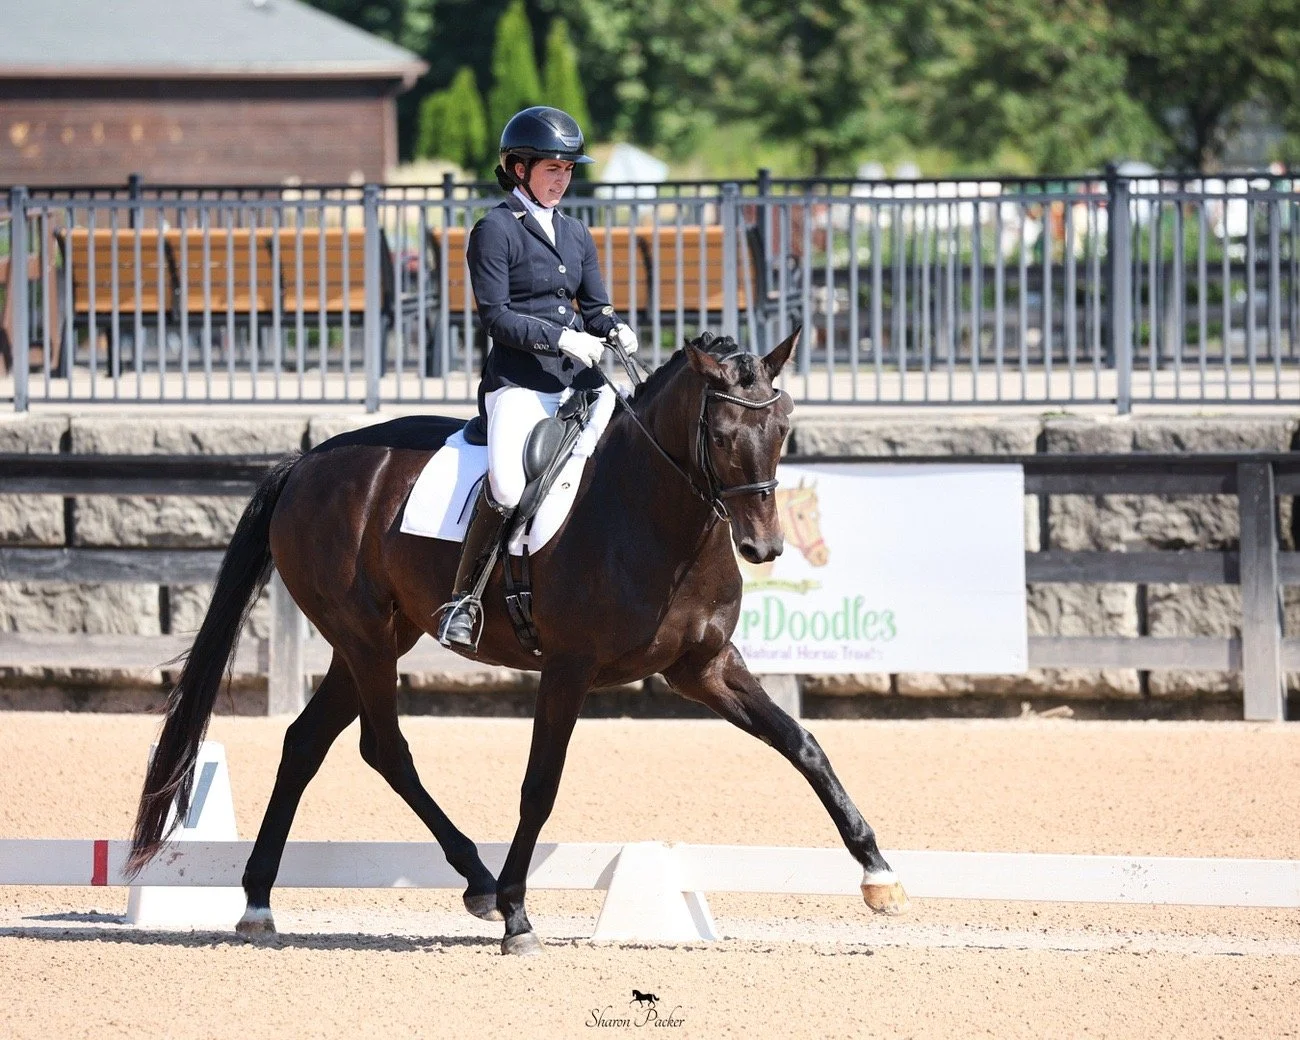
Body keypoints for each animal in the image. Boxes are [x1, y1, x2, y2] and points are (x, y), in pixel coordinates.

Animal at [125, 328, 907, 956]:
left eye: (783, 427)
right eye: (718, 436)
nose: (763, 546)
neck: (655, 512)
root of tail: (306, 462)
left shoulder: (704, 668)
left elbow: (802, 744)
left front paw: (879, 873)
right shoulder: (568, 669)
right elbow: (540, 785)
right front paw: (517, 916)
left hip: (375, 639)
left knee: (306, 742)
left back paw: (259, 901)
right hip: (366, 638)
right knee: (385, 748)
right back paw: (478, 883)